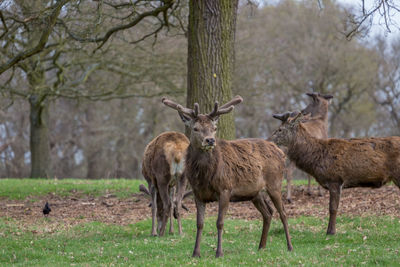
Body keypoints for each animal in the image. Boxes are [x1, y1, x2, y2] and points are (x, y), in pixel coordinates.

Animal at [161, 96, 292, 258]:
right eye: (195, 128)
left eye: (214, 128)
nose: (210, 140)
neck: (204, 176)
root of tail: (281, 152)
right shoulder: (198, 194)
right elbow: (199, 223)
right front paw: (196, 253)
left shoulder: (225, 189)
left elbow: (220, 222)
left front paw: (219, 252)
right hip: (255, 193)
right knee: (268, 213)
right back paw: (261, 246)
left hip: (275, 183)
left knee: (283, 213)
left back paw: (289, 246)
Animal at [268, 112, 400, 236]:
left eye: (280, 129)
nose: (268, 140)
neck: (317, 158)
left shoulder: (335, 179)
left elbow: (333, 208)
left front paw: (330, 231)